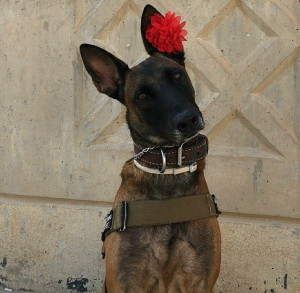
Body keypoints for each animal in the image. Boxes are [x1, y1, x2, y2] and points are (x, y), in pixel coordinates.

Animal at [79, 4, 220, 292]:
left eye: (177, 75)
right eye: (142, 96)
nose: (188, 120)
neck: (168, 169)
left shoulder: (200, 280)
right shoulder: (126, 281)